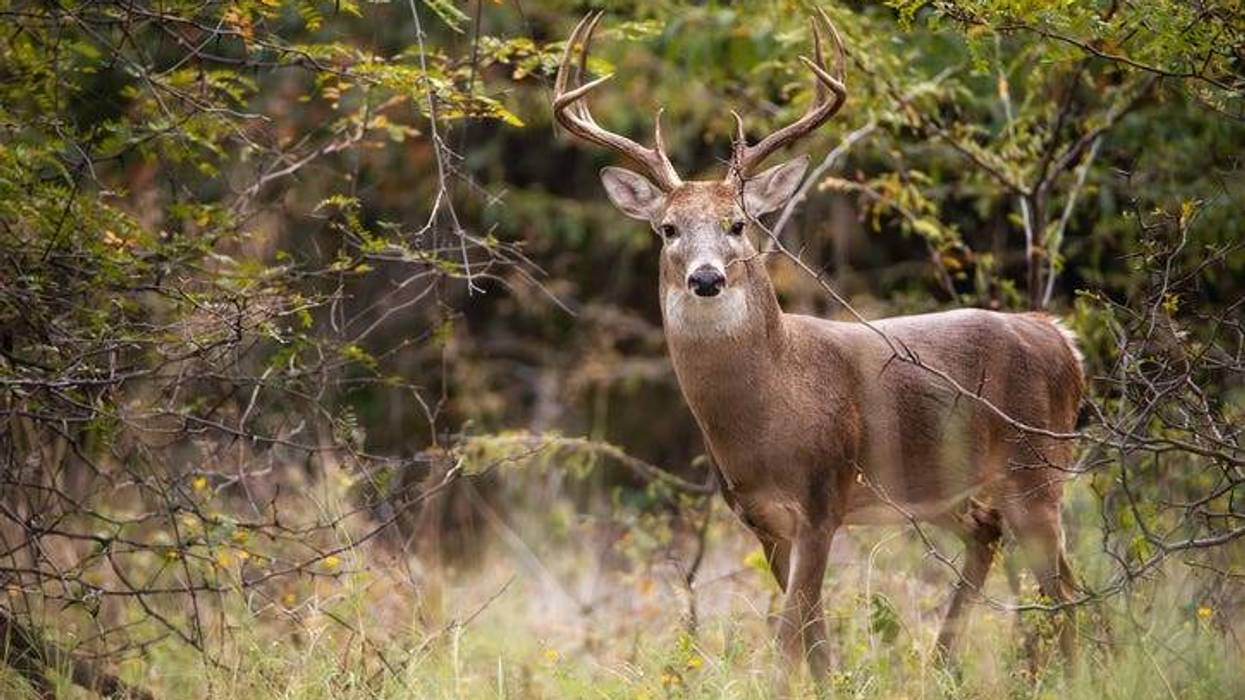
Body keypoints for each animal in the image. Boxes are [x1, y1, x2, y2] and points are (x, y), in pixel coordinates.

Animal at [552, 10, 1084, 681]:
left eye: (738, 224)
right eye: (668, 228)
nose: (707, 278)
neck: (773, 406)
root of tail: (1061, 339)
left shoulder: (823, 496)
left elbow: (788, 636)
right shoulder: (762, 517)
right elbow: (814, 634)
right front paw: (832, 682)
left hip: (1037, 468)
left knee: (1063, 589)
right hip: (943, 485)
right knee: (999, 541)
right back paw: (943, 663)